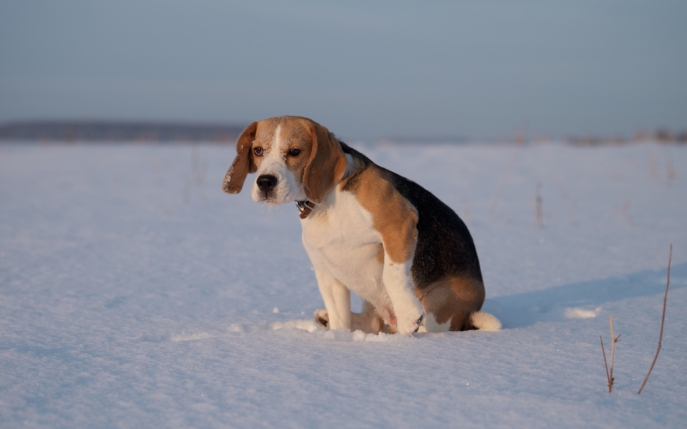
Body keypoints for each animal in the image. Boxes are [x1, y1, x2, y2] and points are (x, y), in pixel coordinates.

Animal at [224, 115, 500, 332]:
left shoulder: (400, 221)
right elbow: (340, 318)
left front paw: (408, 316)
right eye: (258, 150)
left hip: (440, 301)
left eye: (294, 151)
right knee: (373, 322)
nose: (265, 182)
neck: (327, 200)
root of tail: (469, 314)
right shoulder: (326, 270)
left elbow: (391, 274)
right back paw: (325, 319)